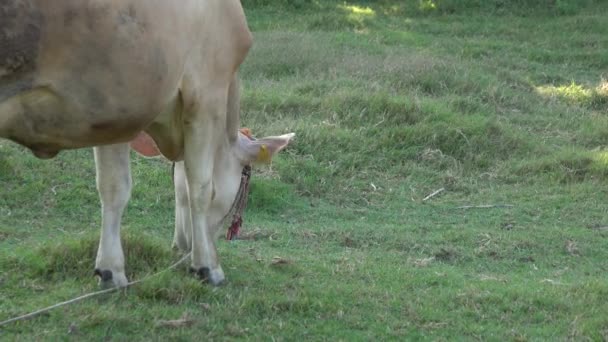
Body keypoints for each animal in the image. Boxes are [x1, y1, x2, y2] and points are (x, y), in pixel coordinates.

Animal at [0, 0, 294, 286]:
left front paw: (110, 270)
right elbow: (200, 187)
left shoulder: (115, 115)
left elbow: (114, 188)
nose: (183, 244)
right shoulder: (206, 95)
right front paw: (207, 266)